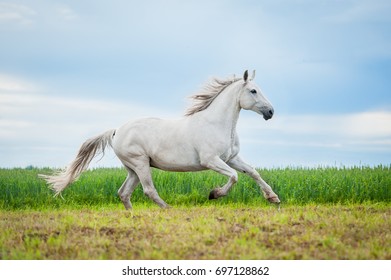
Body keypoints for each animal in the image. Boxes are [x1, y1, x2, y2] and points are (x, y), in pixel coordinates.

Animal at [41, 71, 280, 209]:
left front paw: (273, 198)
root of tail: (117, 131)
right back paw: (168, 209)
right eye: (253, 91)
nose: (270, 112)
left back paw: (133, 216)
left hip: (133, 169)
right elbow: (234, 177)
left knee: (124, 193)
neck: (217, 124)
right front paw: (214, 194)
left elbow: (253, 172)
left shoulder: (232, 158)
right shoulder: (211, 160)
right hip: (140, 163)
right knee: (148, 190)